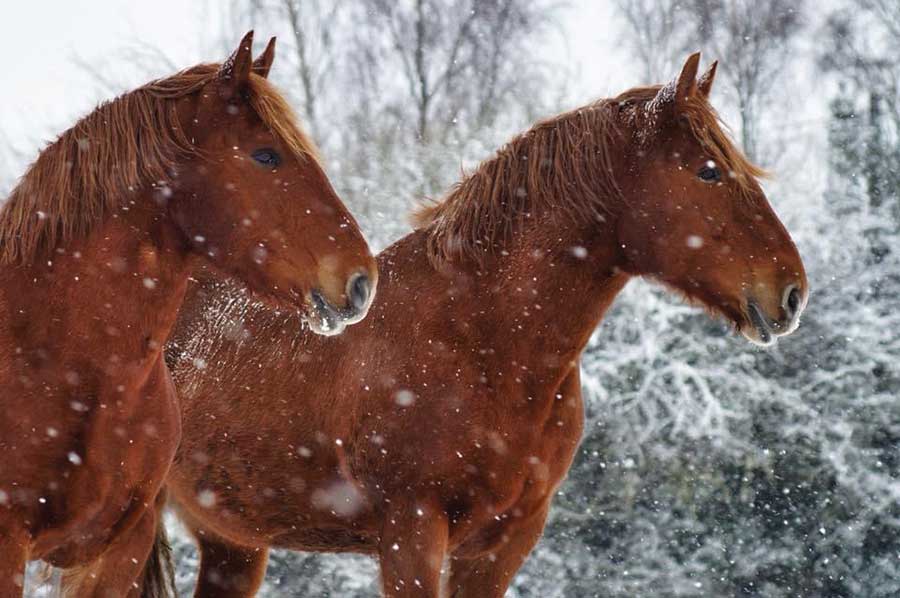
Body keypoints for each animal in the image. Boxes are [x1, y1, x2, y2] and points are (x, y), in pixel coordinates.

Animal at [162, 54, 808, 596]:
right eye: (709, 172)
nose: (792, 292)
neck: (482, 340)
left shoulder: (505, 542)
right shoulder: (411, 532)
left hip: (233, 545)